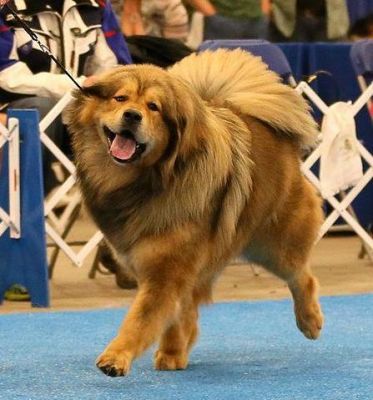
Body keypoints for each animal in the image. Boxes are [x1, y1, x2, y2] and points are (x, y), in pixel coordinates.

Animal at [66, 48, 322, 376]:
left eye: (153, 107)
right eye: (120, 98)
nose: (132, 116)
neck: (150, 181)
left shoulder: (166, 272)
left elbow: (139, 319)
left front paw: (116, 357)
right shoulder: (169, 268)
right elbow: (172, 314)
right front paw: (171, 353)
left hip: (274, 247)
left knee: (302, 276)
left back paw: (310, 321)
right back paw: (175, 352)